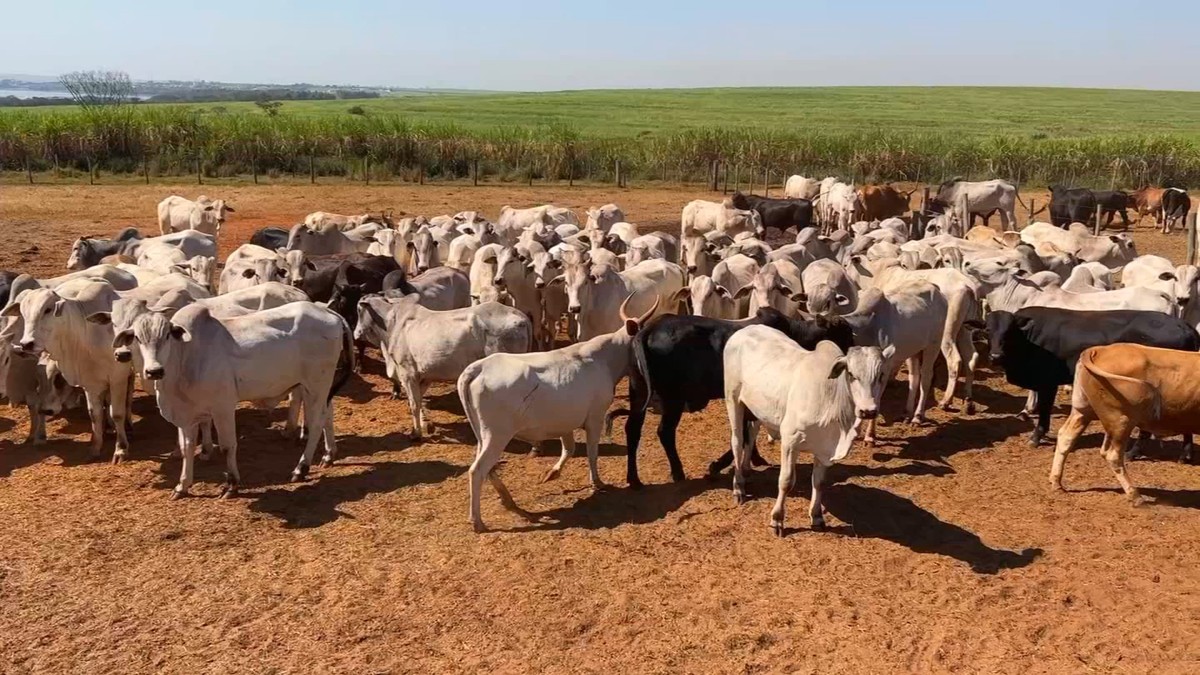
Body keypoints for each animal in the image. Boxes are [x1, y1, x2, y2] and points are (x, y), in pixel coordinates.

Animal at [614, 307, 859, 485]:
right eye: (843, 332)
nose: (850, 354)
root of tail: (647, 330)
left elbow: (748, 430)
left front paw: (753, 459)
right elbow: (743, 432)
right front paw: (718, 465)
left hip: (638, 391)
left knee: (632, 430)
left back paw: (634, 479)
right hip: (673, 399)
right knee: (664, 432)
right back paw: (677, 472)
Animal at [720, 329, 892, 533]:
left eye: (881, 374)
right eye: (851, 374)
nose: (868, 411)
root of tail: (743, 331)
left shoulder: (824, 449)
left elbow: (819, 482)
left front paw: (816, 516)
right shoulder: (790, 441)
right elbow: (786, 481)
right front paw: (777, 519)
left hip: (758, 409)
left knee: (752, 432)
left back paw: (746, 470)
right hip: (733, 398)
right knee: (737, 441)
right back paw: (738, 487)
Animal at [979, 306, 1195, 446]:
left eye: (1009, 331)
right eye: (987, 330)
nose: (995, 356)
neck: (1029, 340)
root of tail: (1183, 325)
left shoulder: (1048, 383)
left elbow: (1044, 410)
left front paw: (1037, 436)